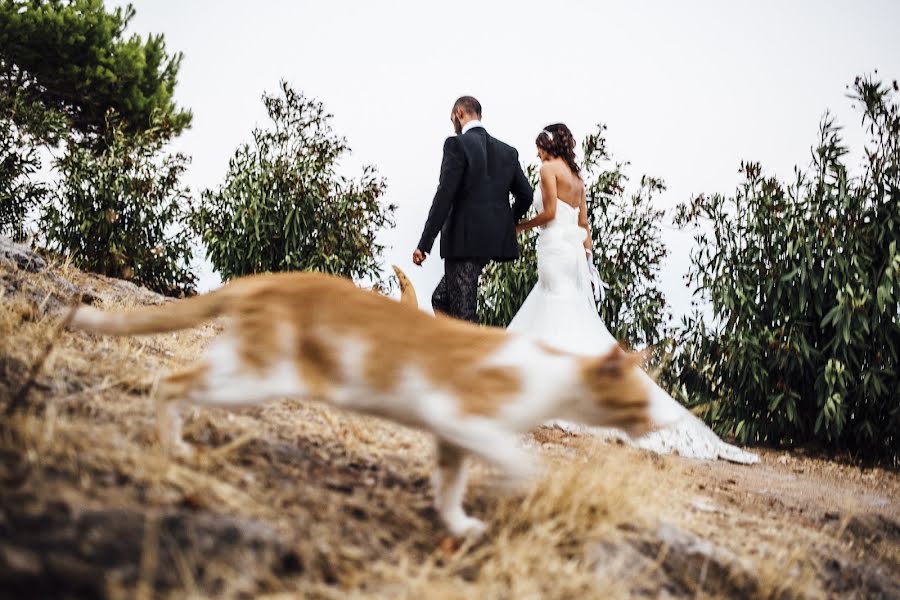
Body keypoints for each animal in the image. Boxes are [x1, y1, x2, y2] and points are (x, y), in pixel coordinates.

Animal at [67, 270, 652, 536]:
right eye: (642, 402)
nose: (658, 422)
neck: (553, 369)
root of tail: (268, 280)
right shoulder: (460, 415)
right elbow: (520, 461)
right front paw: (505, 490)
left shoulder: (453, 437)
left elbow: (451, 482)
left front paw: (457, 523)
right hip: (257, 376)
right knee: (171, 382)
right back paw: (172, 446)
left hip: (243, 364)